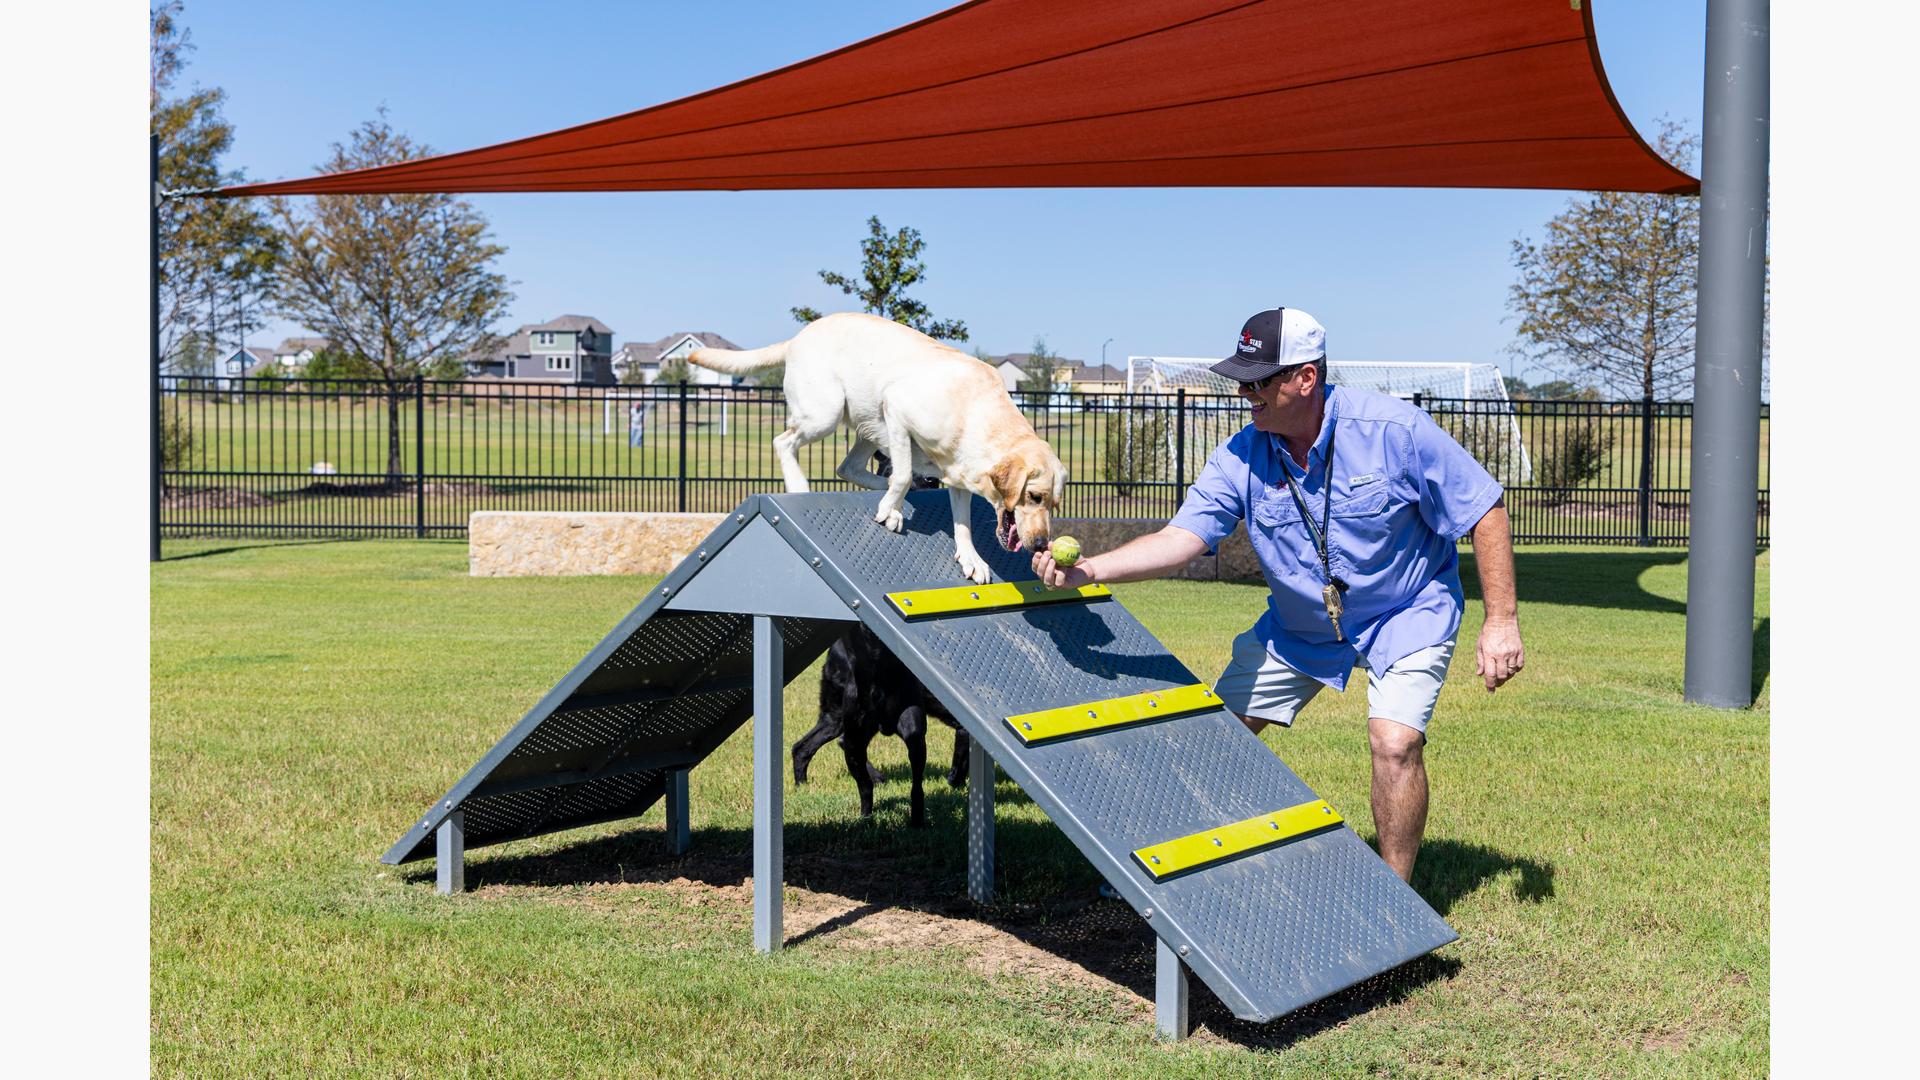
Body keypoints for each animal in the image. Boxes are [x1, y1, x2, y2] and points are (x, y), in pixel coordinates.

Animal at [687, 311, 1067, 580]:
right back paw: (803, 486)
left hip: (867, 428)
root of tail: (798, 337)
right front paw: (891, 510)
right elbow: (902, 474)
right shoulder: (897, 408)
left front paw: (971, 559)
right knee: (785, 442)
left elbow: (963, 525)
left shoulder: (958, 478)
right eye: (1034, 497)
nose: (1040, 544)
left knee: (848, 467)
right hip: (828, 411)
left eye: (1054, 504)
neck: (978, 415)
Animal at [794, 622, 975, 822]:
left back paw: (803, 787)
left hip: (836, 719)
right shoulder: (964, 730)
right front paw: (955, 784)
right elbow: (961, 763)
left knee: (803, 747)